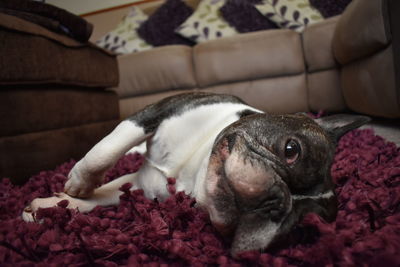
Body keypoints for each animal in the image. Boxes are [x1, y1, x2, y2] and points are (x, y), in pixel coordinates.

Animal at [21, 93, 368, 256]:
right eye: (291, 149)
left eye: (296, 227)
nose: (275, 202)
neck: (194, 171)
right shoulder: (155, 112)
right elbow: (107, 149)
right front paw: (78, 183)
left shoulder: (138, 189)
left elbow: (103, 198)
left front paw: (52, 207)